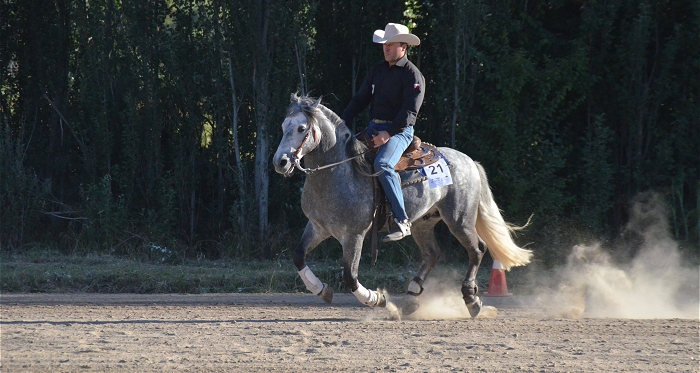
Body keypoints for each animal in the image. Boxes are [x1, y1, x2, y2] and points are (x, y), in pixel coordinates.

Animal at [274, 93, 532, 316]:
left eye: (301, 128)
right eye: (284, 126)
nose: (281, 162)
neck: (340, 171)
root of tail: (469, 161)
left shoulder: (354, 235)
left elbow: (350, 276)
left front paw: (378, 299)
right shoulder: (318, 227)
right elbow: (298, 256)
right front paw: (321, 290)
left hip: (459, 219)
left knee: (477, 249)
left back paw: (471, 300)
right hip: (423, 223)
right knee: (432, 253)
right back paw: (411, 298)